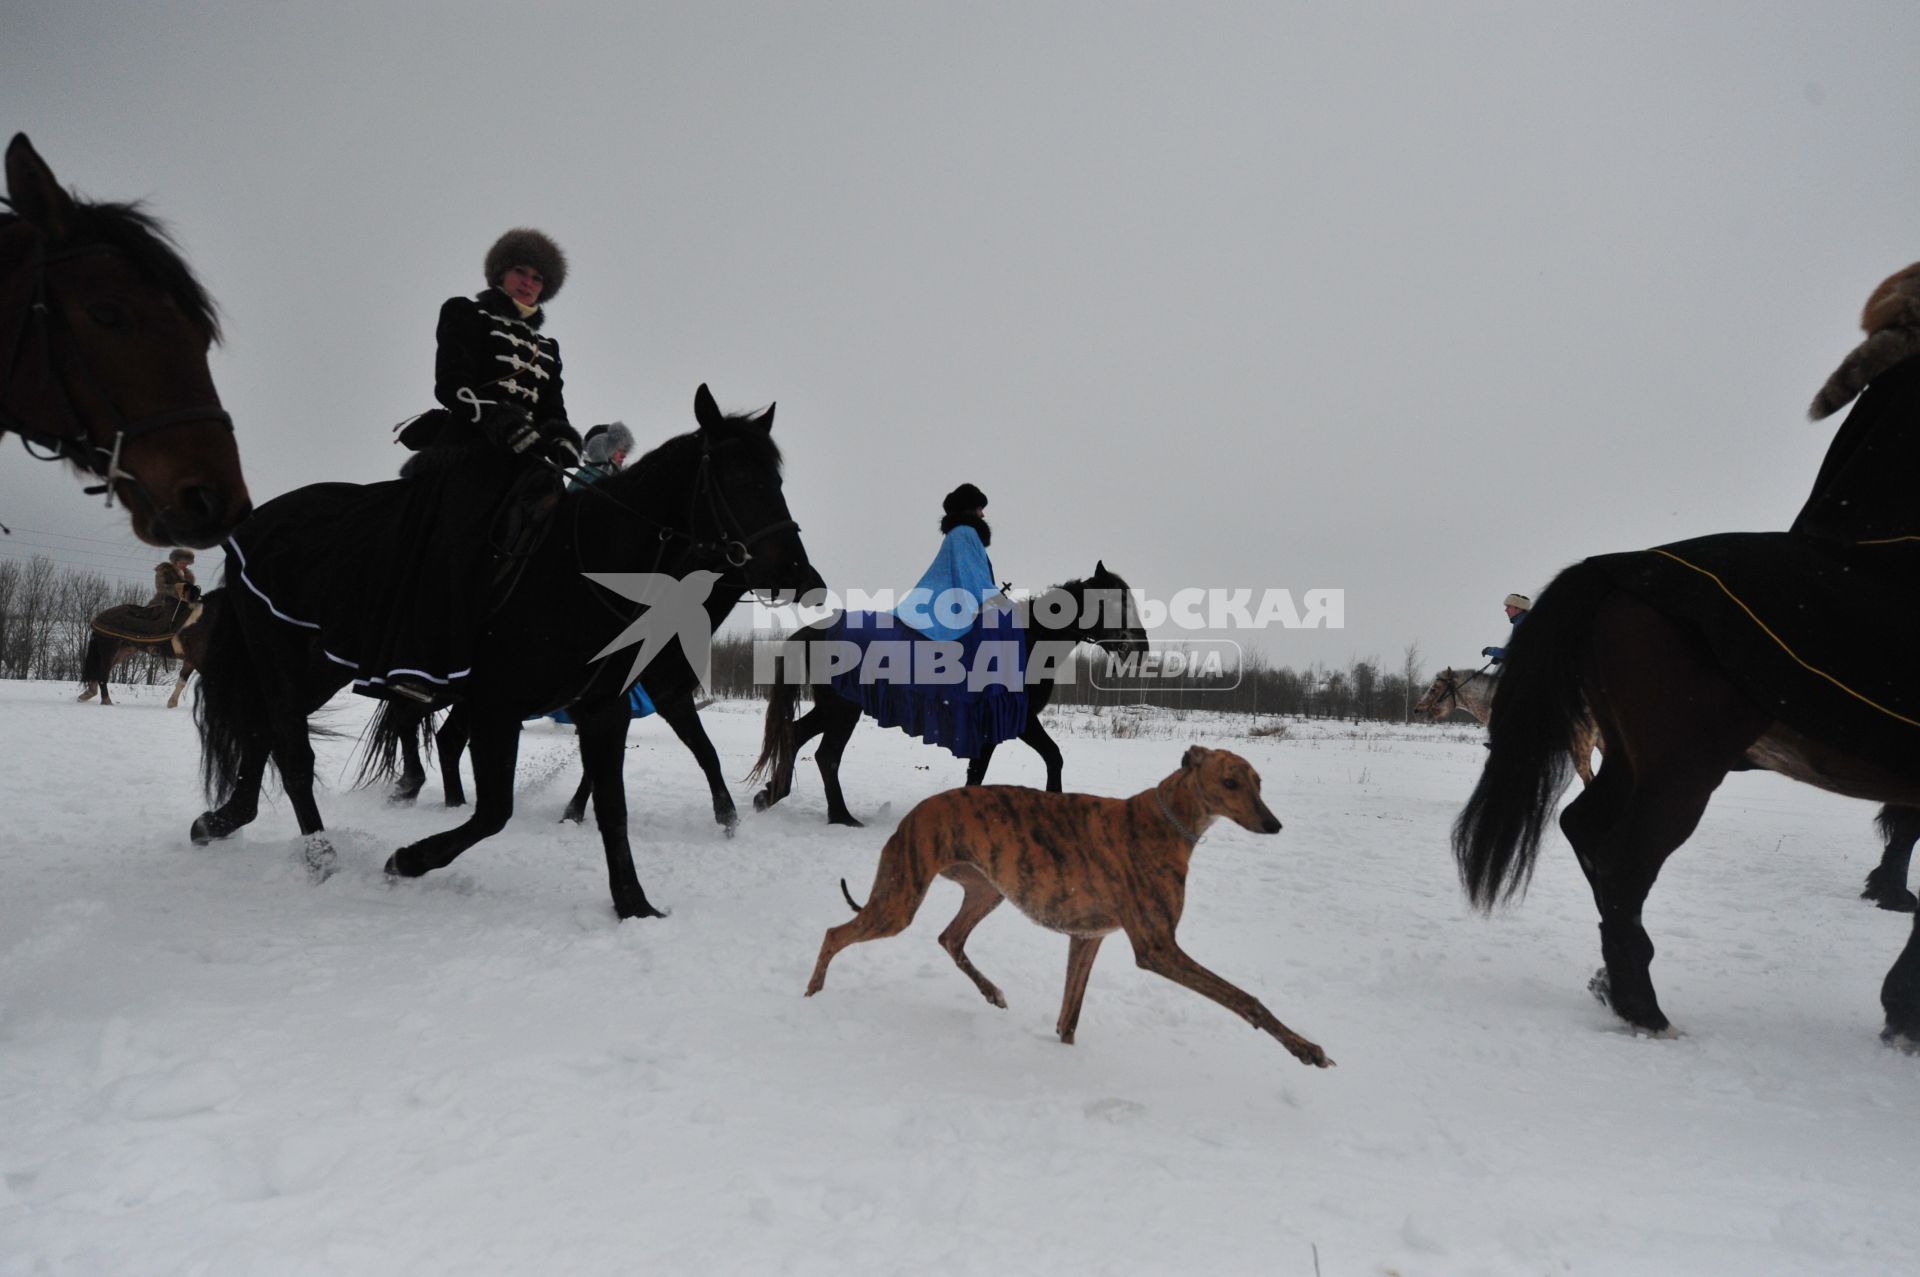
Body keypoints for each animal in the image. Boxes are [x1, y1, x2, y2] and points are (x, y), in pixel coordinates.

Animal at [192, 384, 817, 921]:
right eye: (737, 477)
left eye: (778, 479)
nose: (803, 577)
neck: (579, 570)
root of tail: (253, 525)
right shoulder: (503, 707)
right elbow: (496, 811)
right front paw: (408, 860)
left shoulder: (604, 708)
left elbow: (614, 807)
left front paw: (634, 905)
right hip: (282, 654)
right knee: (295, 750)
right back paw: (321, 854)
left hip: (315, 667)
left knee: (266, 732)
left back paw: (224, 820)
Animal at [744, 560, 1136, 825]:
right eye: (1114, 602)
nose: (1139, 645)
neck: (1027, 640)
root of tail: (817, 630)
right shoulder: (1017, 721)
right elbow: (1049, 757)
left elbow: (982, 772)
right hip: (843, 710)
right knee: (826, 755)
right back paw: (841, 816)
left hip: (832, 708)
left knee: (795, 735)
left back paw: (772, 794)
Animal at [802, 748, 1328, 1067]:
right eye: (1230, 782)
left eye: (1259, 781)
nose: (1274, 824)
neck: (1168, 821)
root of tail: (911, 816)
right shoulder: (1157, 949)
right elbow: (1244, 998)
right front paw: (1307, 1049)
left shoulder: (1088, 937)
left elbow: (1068, 1019)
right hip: (900, 899)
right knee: (834, 934)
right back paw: (812, 995)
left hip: (984, 890)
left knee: (949, 937)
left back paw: (992, 992)